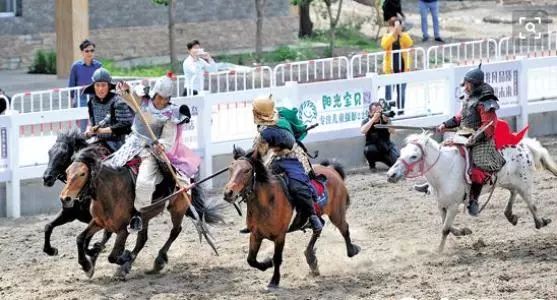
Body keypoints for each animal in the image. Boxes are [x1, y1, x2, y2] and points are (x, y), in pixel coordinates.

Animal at [60, 146, 224, 278]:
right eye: (67, 172)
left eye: (82, 174)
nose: (65, 198)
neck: (111, 190)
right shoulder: (98, 222)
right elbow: (80, 238)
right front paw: (87, 264)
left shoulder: (123, 230)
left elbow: (113, 256)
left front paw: (124, 257)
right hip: (145, 217)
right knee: (141, 239)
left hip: (178, 209)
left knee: (175, 231)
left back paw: (157, 261)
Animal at [223, 147, 360, 288]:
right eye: (230, 169)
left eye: (247, 170)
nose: (229, 193)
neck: (268, 201)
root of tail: (332, 169)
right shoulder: (255, 235)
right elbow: (251, 259)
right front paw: (267, 263)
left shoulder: (280, 236)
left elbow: (277, 259)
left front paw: (274, 281)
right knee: (319, 227)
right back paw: (311, 259)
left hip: (336, 213)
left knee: (344, 228)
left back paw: (351, 251)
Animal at [386, 132, 556, 252]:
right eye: (401, 152)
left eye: (414, 156)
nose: (391, 175)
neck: (444, 170)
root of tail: (524, 145)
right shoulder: (442, 205)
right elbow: (446, 226)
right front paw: (463, 231)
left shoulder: (453, 206)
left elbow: (445, 229)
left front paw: (439, 251)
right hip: (506, 180)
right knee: (514, 192)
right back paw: (511, 215)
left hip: (524, 181)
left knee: (530, 202)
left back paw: (540, 222)